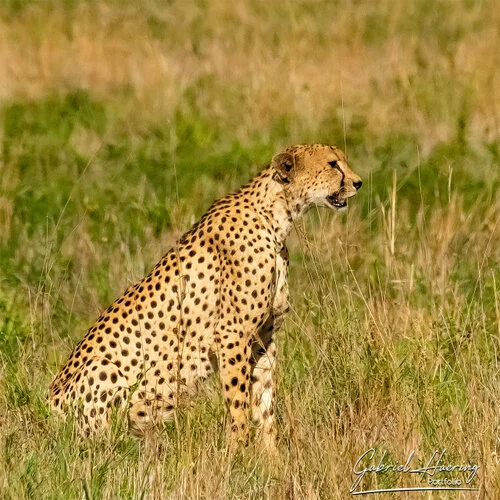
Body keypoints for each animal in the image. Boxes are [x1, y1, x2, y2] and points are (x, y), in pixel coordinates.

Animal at [50, 145, 362, 450]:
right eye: (333, 164)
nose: (358, 182)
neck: (275, 218)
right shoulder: (232, 334)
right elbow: (239, 403)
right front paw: (237, 453)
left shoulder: (264, 339)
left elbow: (265, 404)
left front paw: (271, 457)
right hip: (103, 369)